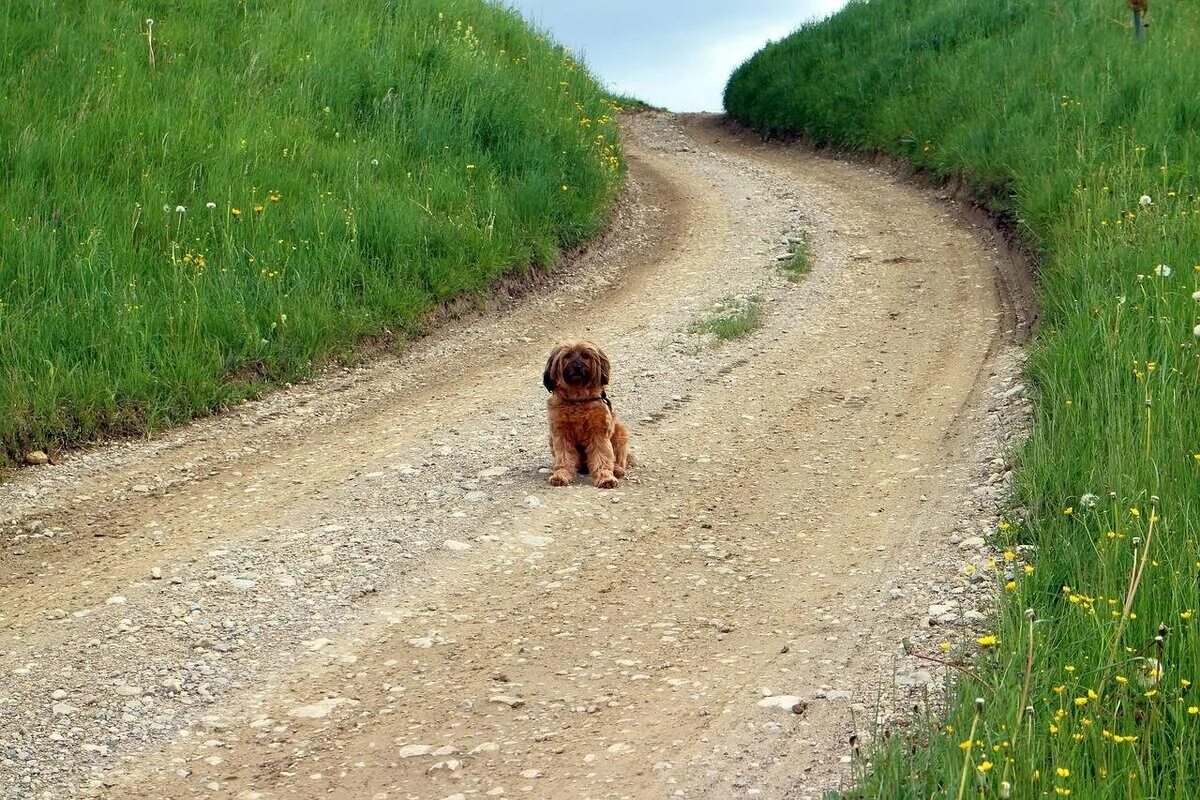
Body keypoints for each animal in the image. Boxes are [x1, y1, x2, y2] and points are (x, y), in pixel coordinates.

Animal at [544, 340, 633, 489]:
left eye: (585, 356)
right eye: (567, 356)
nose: (577, 366)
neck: (578, 399)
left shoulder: (599, 433)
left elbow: (602, 457)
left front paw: (605, 478)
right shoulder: (560, 434)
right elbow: (564, 457)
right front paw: (561, 475)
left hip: (621, 432)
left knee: (617, 459)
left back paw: (617, 469)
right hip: (551, 438)